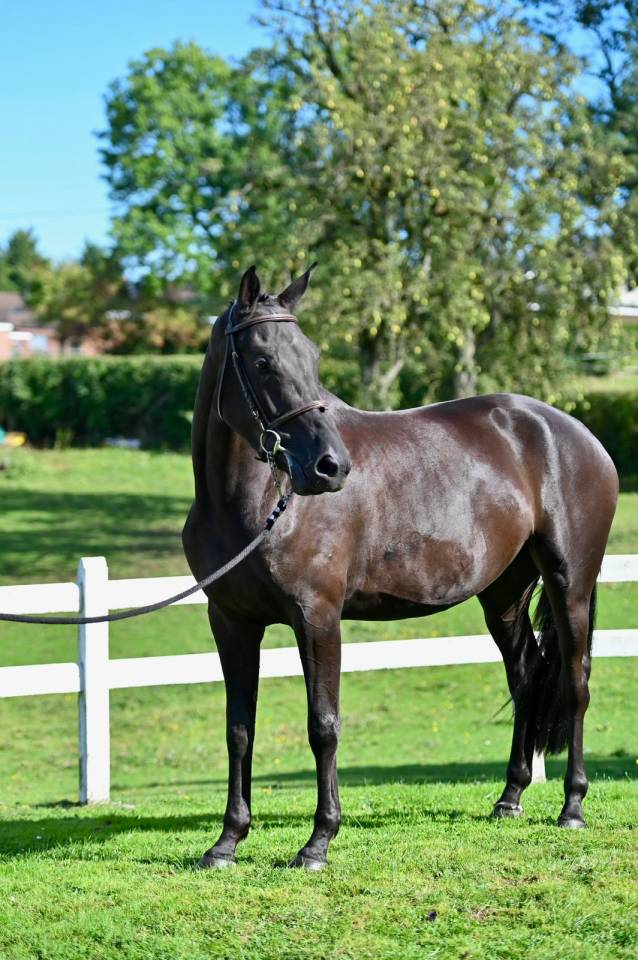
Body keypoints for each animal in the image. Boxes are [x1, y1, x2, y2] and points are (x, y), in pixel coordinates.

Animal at [182, 264, 618, 871]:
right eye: (263, 361)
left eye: (313, 356)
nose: (331, 466)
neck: (256, 503)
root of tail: (575, 433)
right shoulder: (230, 622)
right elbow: (239, 730)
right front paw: (226, 841)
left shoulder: (317, 618)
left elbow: (323, 726)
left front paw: (317, 842)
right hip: (502, 595)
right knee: (527, 674)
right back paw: (509, 797)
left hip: (568, 583)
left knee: (575, 682)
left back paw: (572, 807)